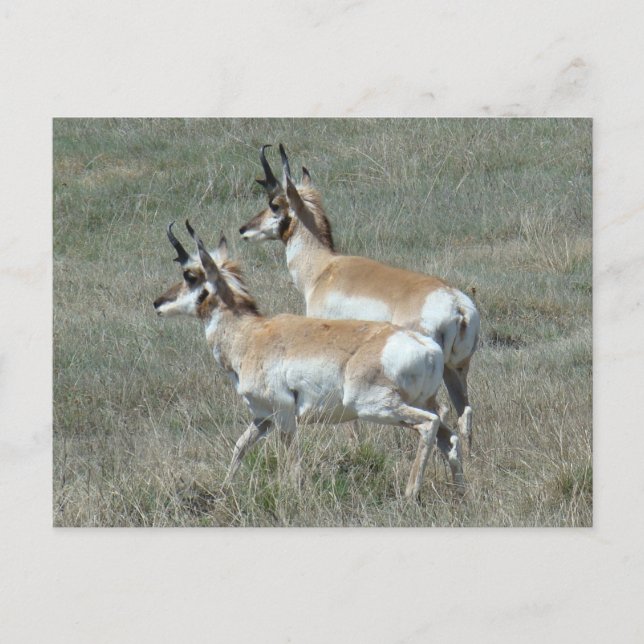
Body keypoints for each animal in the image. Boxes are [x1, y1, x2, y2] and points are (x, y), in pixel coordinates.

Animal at [153, 220, 465, 498]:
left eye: (190, 276)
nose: (157, 302)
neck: (250, 335)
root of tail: (427, 347)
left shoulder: (284, 415)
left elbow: (292, 463)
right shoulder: (263, 417)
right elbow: (240, 446)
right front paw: (226, 488)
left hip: (375, 407)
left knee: (428, 425)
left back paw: (411, 494)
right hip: (415, 403)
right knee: (449, 438)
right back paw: (459, 493)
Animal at [240, 145, 480, 452]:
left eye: (274, 204)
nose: (244, 230)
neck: (324, 268)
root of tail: (456, 303)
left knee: (440, 412)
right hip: (456, 370)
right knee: (464, 411)